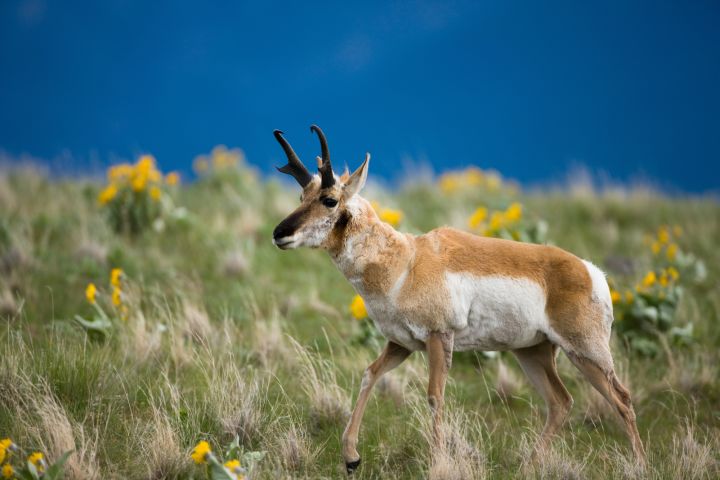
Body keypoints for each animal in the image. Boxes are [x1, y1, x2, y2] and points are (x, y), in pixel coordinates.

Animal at [272, 124, 648, 472]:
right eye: (302, 196)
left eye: (329, 200)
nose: (279, 233)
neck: (406, 261)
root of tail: (590, 271)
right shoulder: (401, 344)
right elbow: (370, 375)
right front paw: (351, 457)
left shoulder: (439, 338)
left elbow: (434, 396)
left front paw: (437, 461)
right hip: (533, 352)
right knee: (561, 402)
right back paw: (528, 466)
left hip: (586, 352)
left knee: (622, 399)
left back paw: (640, 465)